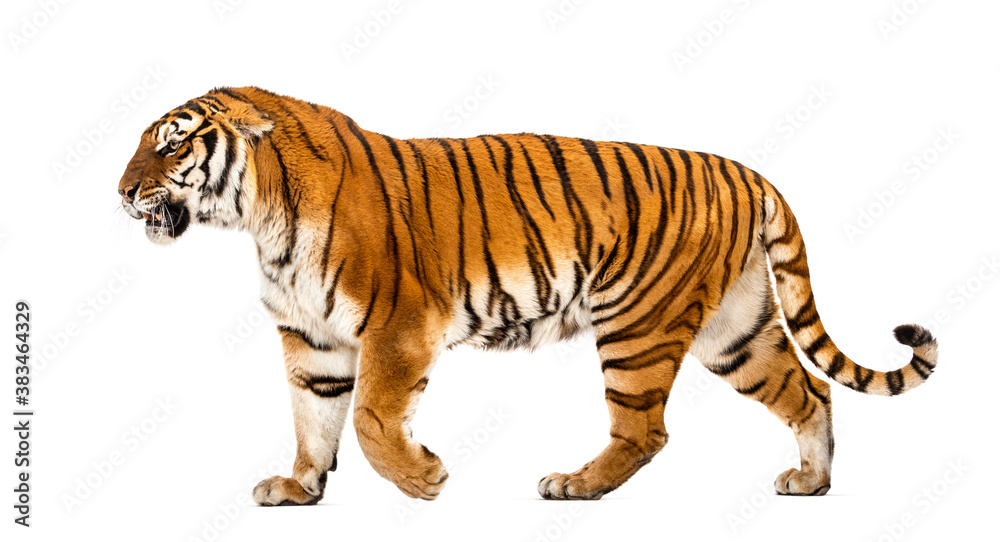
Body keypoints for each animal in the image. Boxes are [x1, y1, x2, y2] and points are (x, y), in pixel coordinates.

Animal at [117, 86, 938, 505]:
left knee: (645, 430)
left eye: (172, 142)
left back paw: (574, 484)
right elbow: (315, 421)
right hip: (735, 329)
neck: (258, 216)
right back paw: (812, 481)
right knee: (809, 391)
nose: (121, 191)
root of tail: (746, 171)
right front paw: (298, 488)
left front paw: (423, 478)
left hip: (638, 325)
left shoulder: (399, 324)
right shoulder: (312, 340)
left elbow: (373, 420)